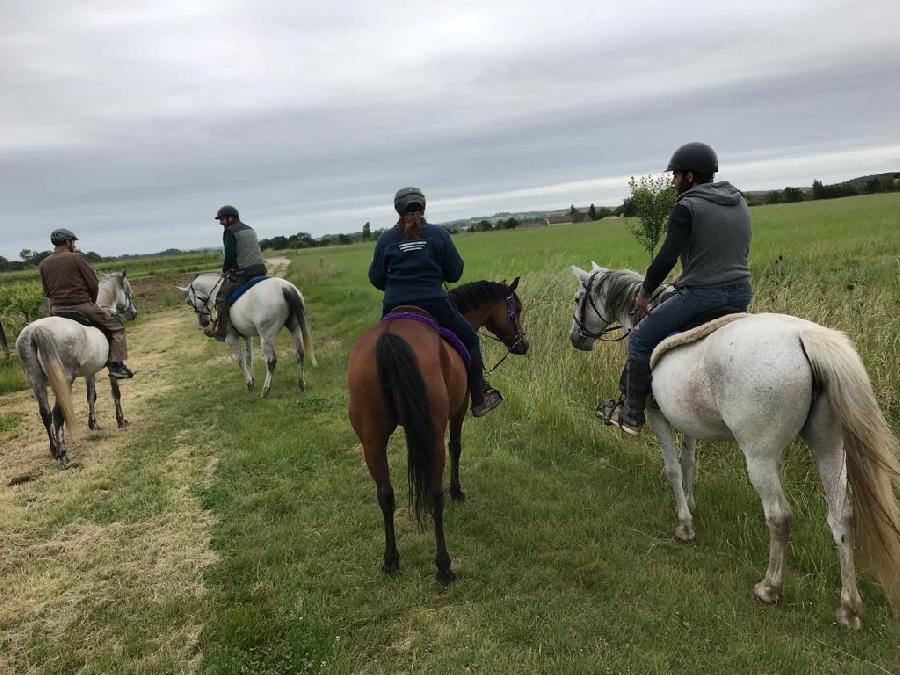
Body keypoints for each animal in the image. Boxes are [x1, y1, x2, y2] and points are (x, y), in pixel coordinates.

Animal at [15, 272, 137, 468]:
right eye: (127, 291)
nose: (134, 313)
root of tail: (35, 330)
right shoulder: (110, 369)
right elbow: (115, 393)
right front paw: (120, 420)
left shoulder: (89, 371)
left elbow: (91, 396)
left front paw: (93, 424)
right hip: (64, 379)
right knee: (57, 415)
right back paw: (63, 455)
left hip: (36, 380)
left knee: (46, 414)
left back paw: (54, 450)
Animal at [179, 272, 316, 396]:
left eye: (189, 301)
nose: (203, 322)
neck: (216, 291)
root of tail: (285, 287)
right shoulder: (247, 336)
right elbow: (249, 358)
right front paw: (253, 381)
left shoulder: (231, 338)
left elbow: (241, 360)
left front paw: (249, 384)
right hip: (295, 327)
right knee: (300, 353)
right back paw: (301, 384)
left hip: (266, 337)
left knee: (271, 361)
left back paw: (265, 390)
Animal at [346, 278, 528, 584]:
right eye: (516, 307)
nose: (523, 344)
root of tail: (390, 340)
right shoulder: (460, 408)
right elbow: (456, 447)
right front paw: (457, 491)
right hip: (431, 436)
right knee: (434, 494)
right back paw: (444, 566)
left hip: (371, 440)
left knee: (385, 495)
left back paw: (391, 560)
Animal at [568, 262, 900, 628]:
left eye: (579, 298)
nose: (576, 338)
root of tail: (804, 338)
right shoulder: (688, 422)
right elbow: (688, 464)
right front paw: (691, 505)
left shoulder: (658, 417)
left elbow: (672, 469)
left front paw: (685, 525)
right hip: (828, 446)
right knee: (841, 517)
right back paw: (848, 609)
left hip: (761, 457)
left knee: (779, 516)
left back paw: (770, 588)